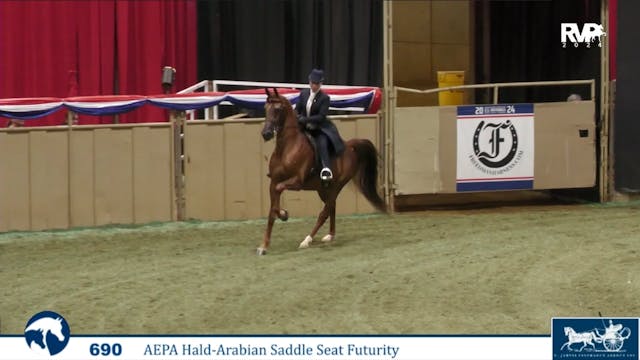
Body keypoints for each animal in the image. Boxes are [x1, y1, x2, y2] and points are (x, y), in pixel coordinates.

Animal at [258, 88, 384, 255]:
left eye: (278, 109)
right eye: (265, 108)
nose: (266, 134)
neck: (287, 148)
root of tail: (349, 147)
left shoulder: (296, 182)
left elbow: (278, 198)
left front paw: (284, 214)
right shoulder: (273, 181)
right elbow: (272, 211)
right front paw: (264, 246)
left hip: (336, 186)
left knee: (325, 212)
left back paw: (307, 240)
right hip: (323, 188)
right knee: (331, 208)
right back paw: (330, 236)